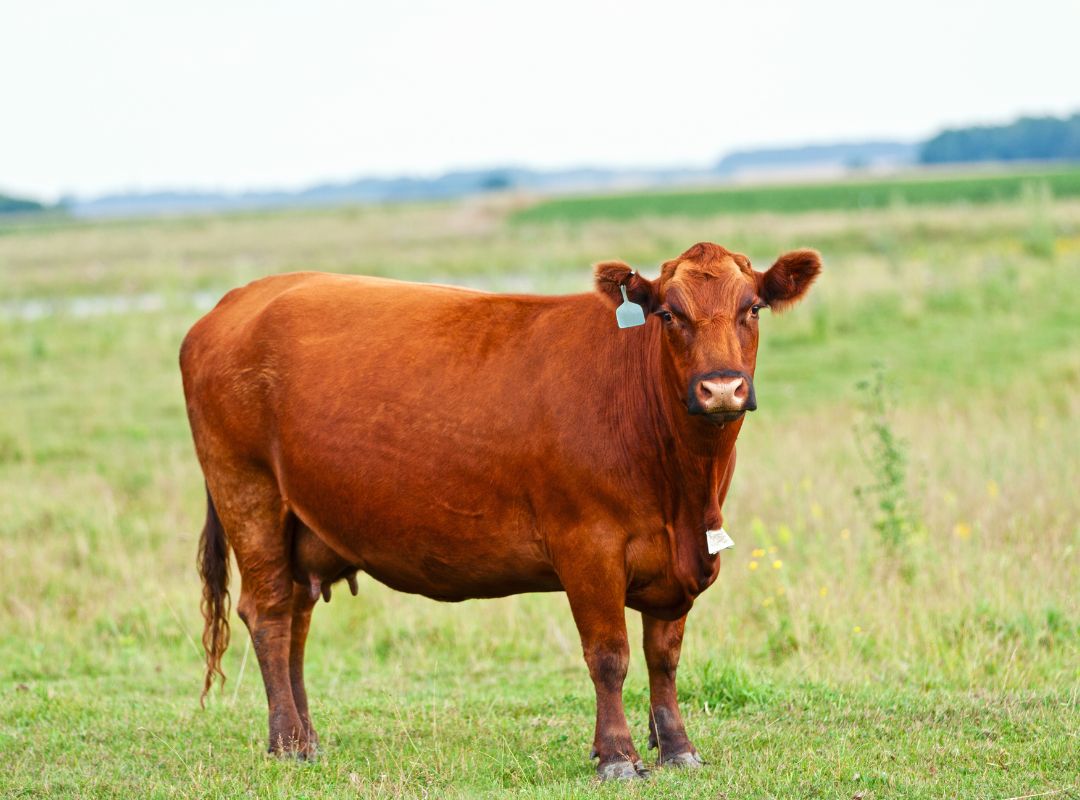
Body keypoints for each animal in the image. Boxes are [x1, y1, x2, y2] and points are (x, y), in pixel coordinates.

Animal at [179, 240, 816, 777]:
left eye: (753, 308)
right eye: (668, 315)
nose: (721, 388)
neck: (684, 492)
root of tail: (238, 300)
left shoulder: (678, 560)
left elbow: (665, 656)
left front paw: (678, 749)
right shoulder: (587, 545)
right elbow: (609, 655)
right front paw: (616, 756)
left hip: (303, 523)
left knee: (297, 617)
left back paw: (305, 738)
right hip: (248, 493)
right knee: (268, 615)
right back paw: (287, 742)